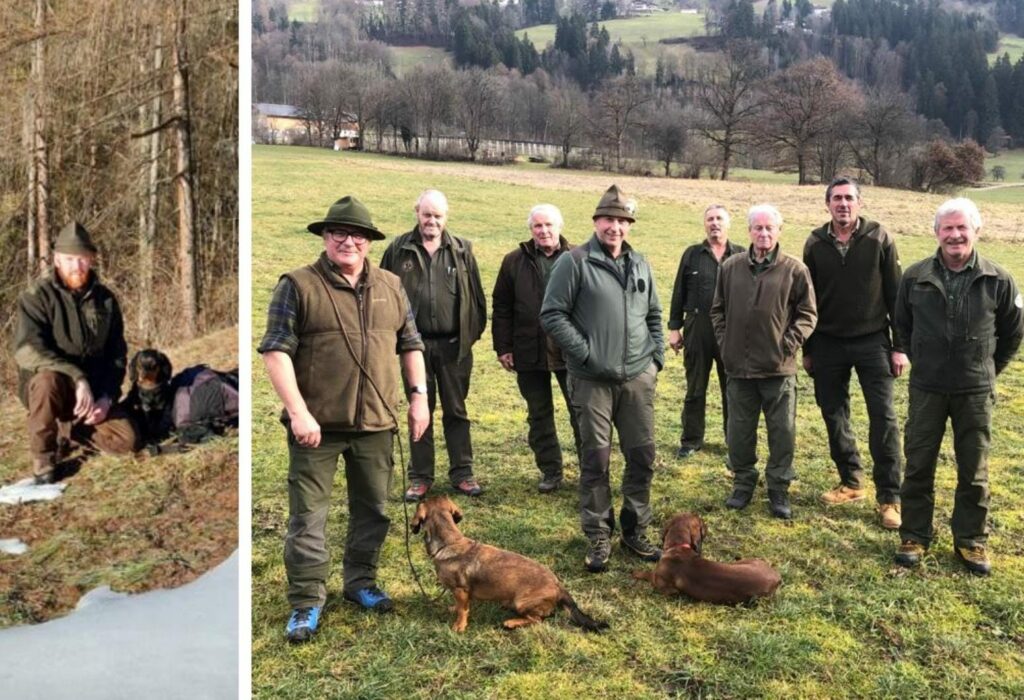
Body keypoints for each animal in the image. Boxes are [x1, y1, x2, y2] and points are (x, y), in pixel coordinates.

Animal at [411, 491, 610, 634]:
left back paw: (511, 622)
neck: (449, 542)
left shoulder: (461, 590)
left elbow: (463, 610)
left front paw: (459, 626)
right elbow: (459, 606)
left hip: (522, 602)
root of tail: (559, 587)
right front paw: (453, 608)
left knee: (537, 619)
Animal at [626, 511, 778, 605]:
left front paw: (635, 572)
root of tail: (777, 577)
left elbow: (647, 574)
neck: (678, 547)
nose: (706, 525)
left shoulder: (663, 585)